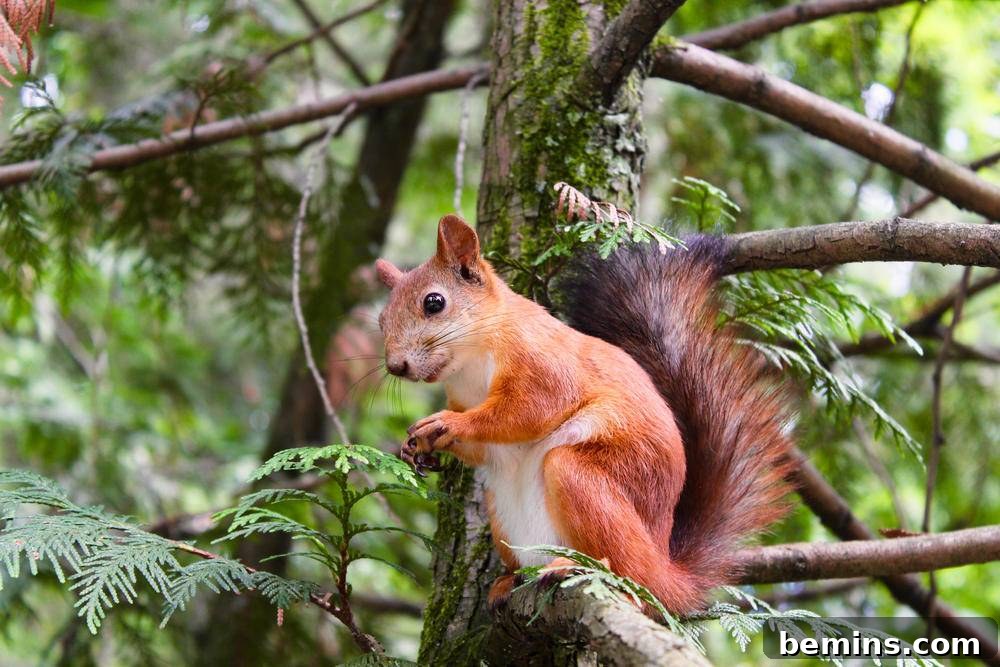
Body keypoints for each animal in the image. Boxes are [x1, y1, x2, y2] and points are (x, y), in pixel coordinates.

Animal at [375, 213, 794, 614]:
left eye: (434, 303)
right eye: (381, 320)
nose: (396, 366)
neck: (471, 363)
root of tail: (666, 571)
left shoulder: (543, 364)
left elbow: (527, 411)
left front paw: (447, 424)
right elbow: (484, 448)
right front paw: (419, 448)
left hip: (584, 479)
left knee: (629, 574)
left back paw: (579, 568)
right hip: (503, 515)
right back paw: (508, 581)